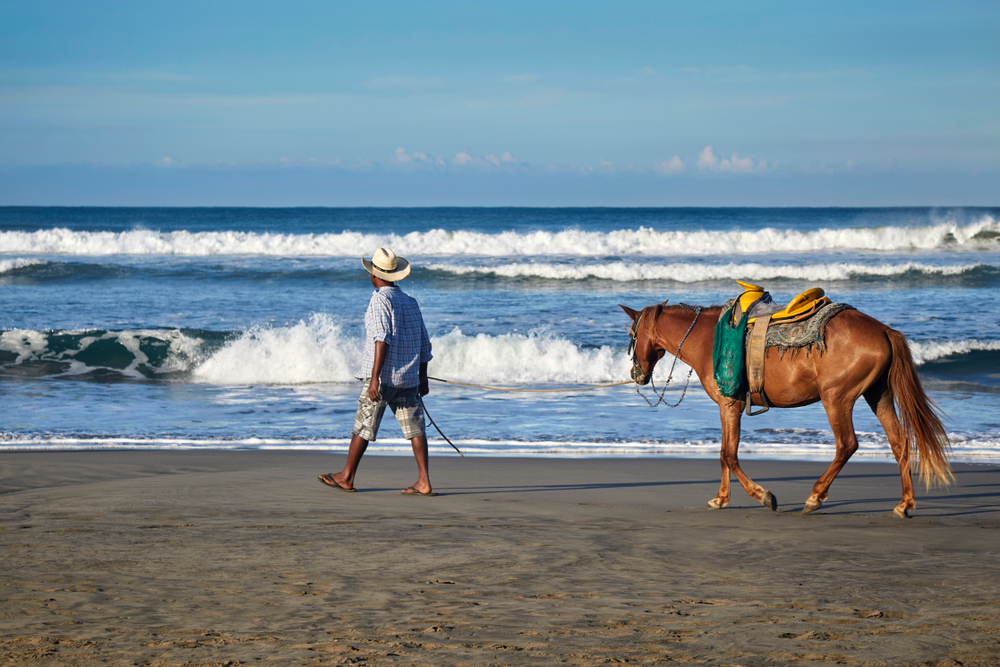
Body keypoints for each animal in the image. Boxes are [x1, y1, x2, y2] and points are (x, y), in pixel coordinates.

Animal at [620, 301, 951, 518]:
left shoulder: (730, 404)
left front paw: (764, 496)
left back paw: (815, 497)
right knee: (900, 443)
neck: (708, 339)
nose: (636, 373)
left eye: (631, 336)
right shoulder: (728, 407)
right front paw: (721, 499)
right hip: (878, 395)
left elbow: (729, 454)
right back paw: (904, 504)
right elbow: (724, 454)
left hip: (837, 399)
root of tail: (884, 330)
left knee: (847, 444)